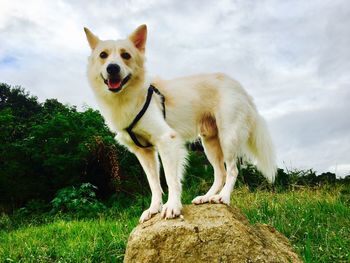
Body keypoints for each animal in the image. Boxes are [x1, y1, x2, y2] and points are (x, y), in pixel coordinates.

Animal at [84, 24, 276, 224]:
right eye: (103, 55)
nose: (112, 68)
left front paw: (172, 206)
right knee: (220, 173)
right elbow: (154, 184)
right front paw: (153, 209)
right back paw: (207, 197)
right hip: (209, 142)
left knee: (232, 170)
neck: (127, 97)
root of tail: (240, 88)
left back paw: (223, 197)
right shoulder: (143, 152)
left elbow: (171, 179)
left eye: (126, 55)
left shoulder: (167, 140)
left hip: (228, 137)